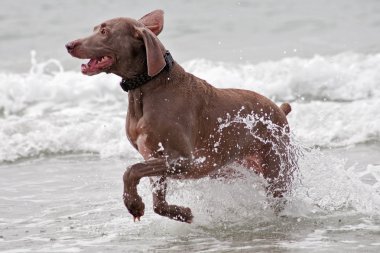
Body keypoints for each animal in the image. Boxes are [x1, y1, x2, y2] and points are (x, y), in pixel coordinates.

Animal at [65, 9, 296, 223]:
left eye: (104, 32)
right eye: (95, 29)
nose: (69, 44)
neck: (145, 87)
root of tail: (279, 109)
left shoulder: (186, 160)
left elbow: (131, 170)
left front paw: (133, 203)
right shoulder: (154, 155)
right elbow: (158, 202)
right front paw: (182, 213)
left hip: (275, 168)